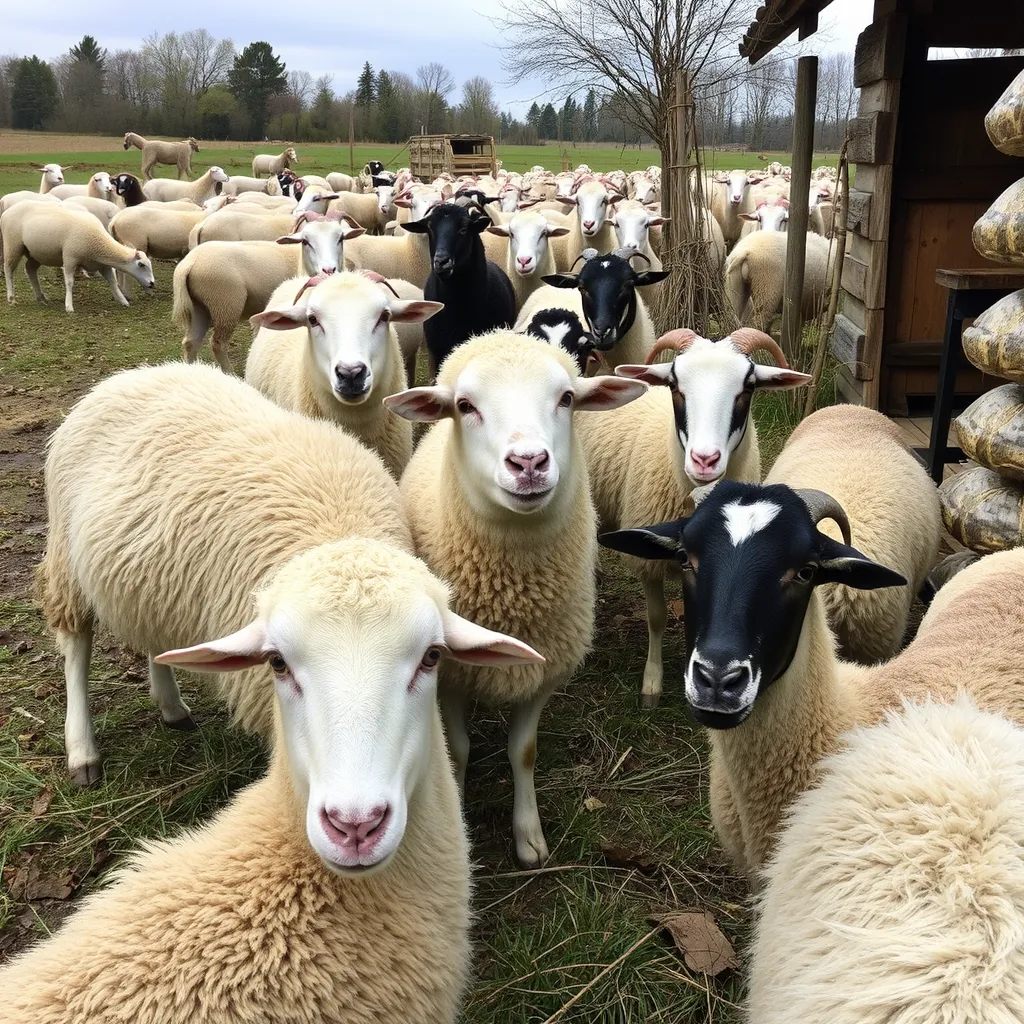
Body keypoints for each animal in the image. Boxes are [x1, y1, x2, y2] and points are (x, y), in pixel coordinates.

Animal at [2, 202, 155, 313]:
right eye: (141, 265)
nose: (152, 283)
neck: (98, 243)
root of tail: (7, 211)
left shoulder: (102, 265)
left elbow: (112, 281)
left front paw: (123, 300)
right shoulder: (70, 257)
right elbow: (70, 282)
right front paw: (69, 306)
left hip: (35, 252)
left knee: (30, 269)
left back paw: (41, 297)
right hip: (13, 244)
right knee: (8, 268)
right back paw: (11, 298)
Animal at [173, 216, 361, 372]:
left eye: (341, 238)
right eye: (305, 241)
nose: (328, 270)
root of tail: (190, 262)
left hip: (200, 307)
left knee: (190, 342)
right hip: (225, 304)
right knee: (218, 343)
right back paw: (230, 373)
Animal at [386, 332, 647, 866]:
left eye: (566, 398)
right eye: (465, 406)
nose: (528, 463)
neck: (515, 593)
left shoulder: (544, 670)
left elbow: (523, 751)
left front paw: (529, 837)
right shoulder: (450, 675)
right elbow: (459, 749)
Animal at [579, 328, 809, 707]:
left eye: (748, 388)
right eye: (674, 385)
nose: (704, 460)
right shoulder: (648, 564)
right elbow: (656, 618)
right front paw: (652, 684)